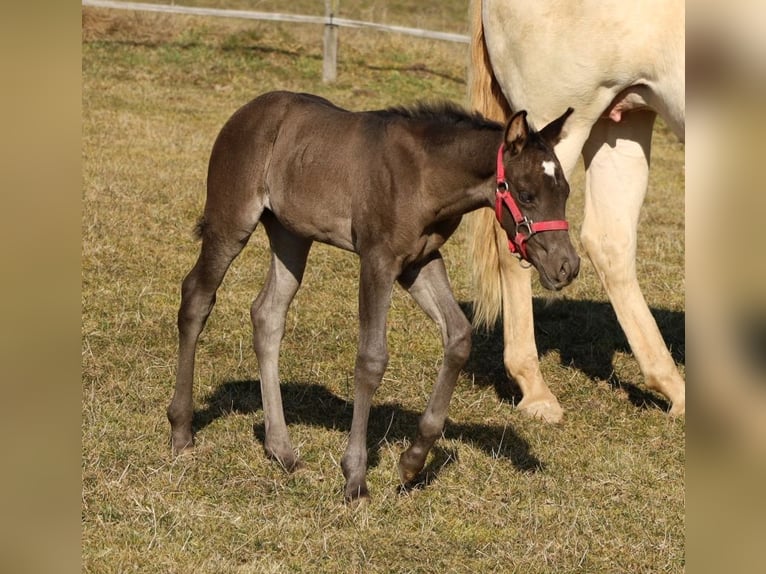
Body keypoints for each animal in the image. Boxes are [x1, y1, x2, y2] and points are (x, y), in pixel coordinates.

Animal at [166, 91, 576, 504]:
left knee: (267, 315)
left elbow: (459, 336)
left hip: (290, 234)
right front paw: (355, 479)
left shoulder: (420, 260)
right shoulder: (378, 259)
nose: (567, 267)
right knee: (197, 297)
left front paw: (411, 463)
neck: (425, 173)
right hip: (231, 219)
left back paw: (284, 453)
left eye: (567, 193)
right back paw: (182, 432)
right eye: (527, 194)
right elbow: (371, 359)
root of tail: (246, 112)